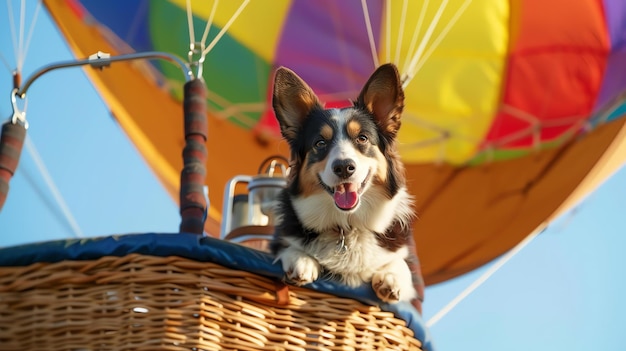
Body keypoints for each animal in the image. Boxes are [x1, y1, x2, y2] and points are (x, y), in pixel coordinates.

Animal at [270, 63, 422, 314]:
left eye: (362, 138)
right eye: (320, 143)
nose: (343, 167)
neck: (348, 227)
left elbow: (400, 263)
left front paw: (391, 277)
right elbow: (288, 246)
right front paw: (302, 259)